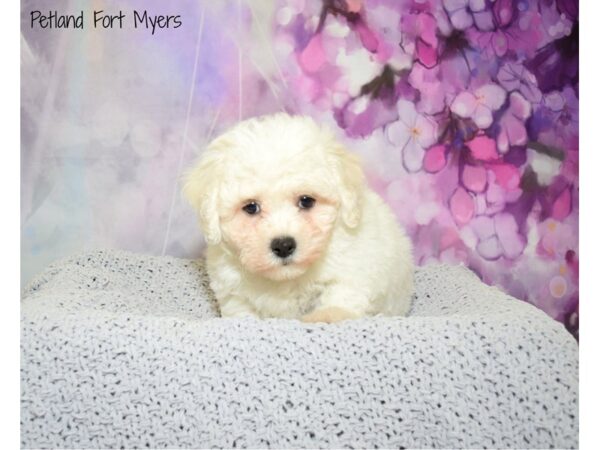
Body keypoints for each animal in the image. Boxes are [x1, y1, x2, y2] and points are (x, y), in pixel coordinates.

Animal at [183, 114, 414, 322]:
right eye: (251, 207)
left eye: (306, 201)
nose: (284, 245)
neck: (286, 279)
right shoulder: (233, 291)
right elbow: (241, 312)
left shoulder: (354, 271)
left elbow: (340, 296)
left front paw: (326, 316)